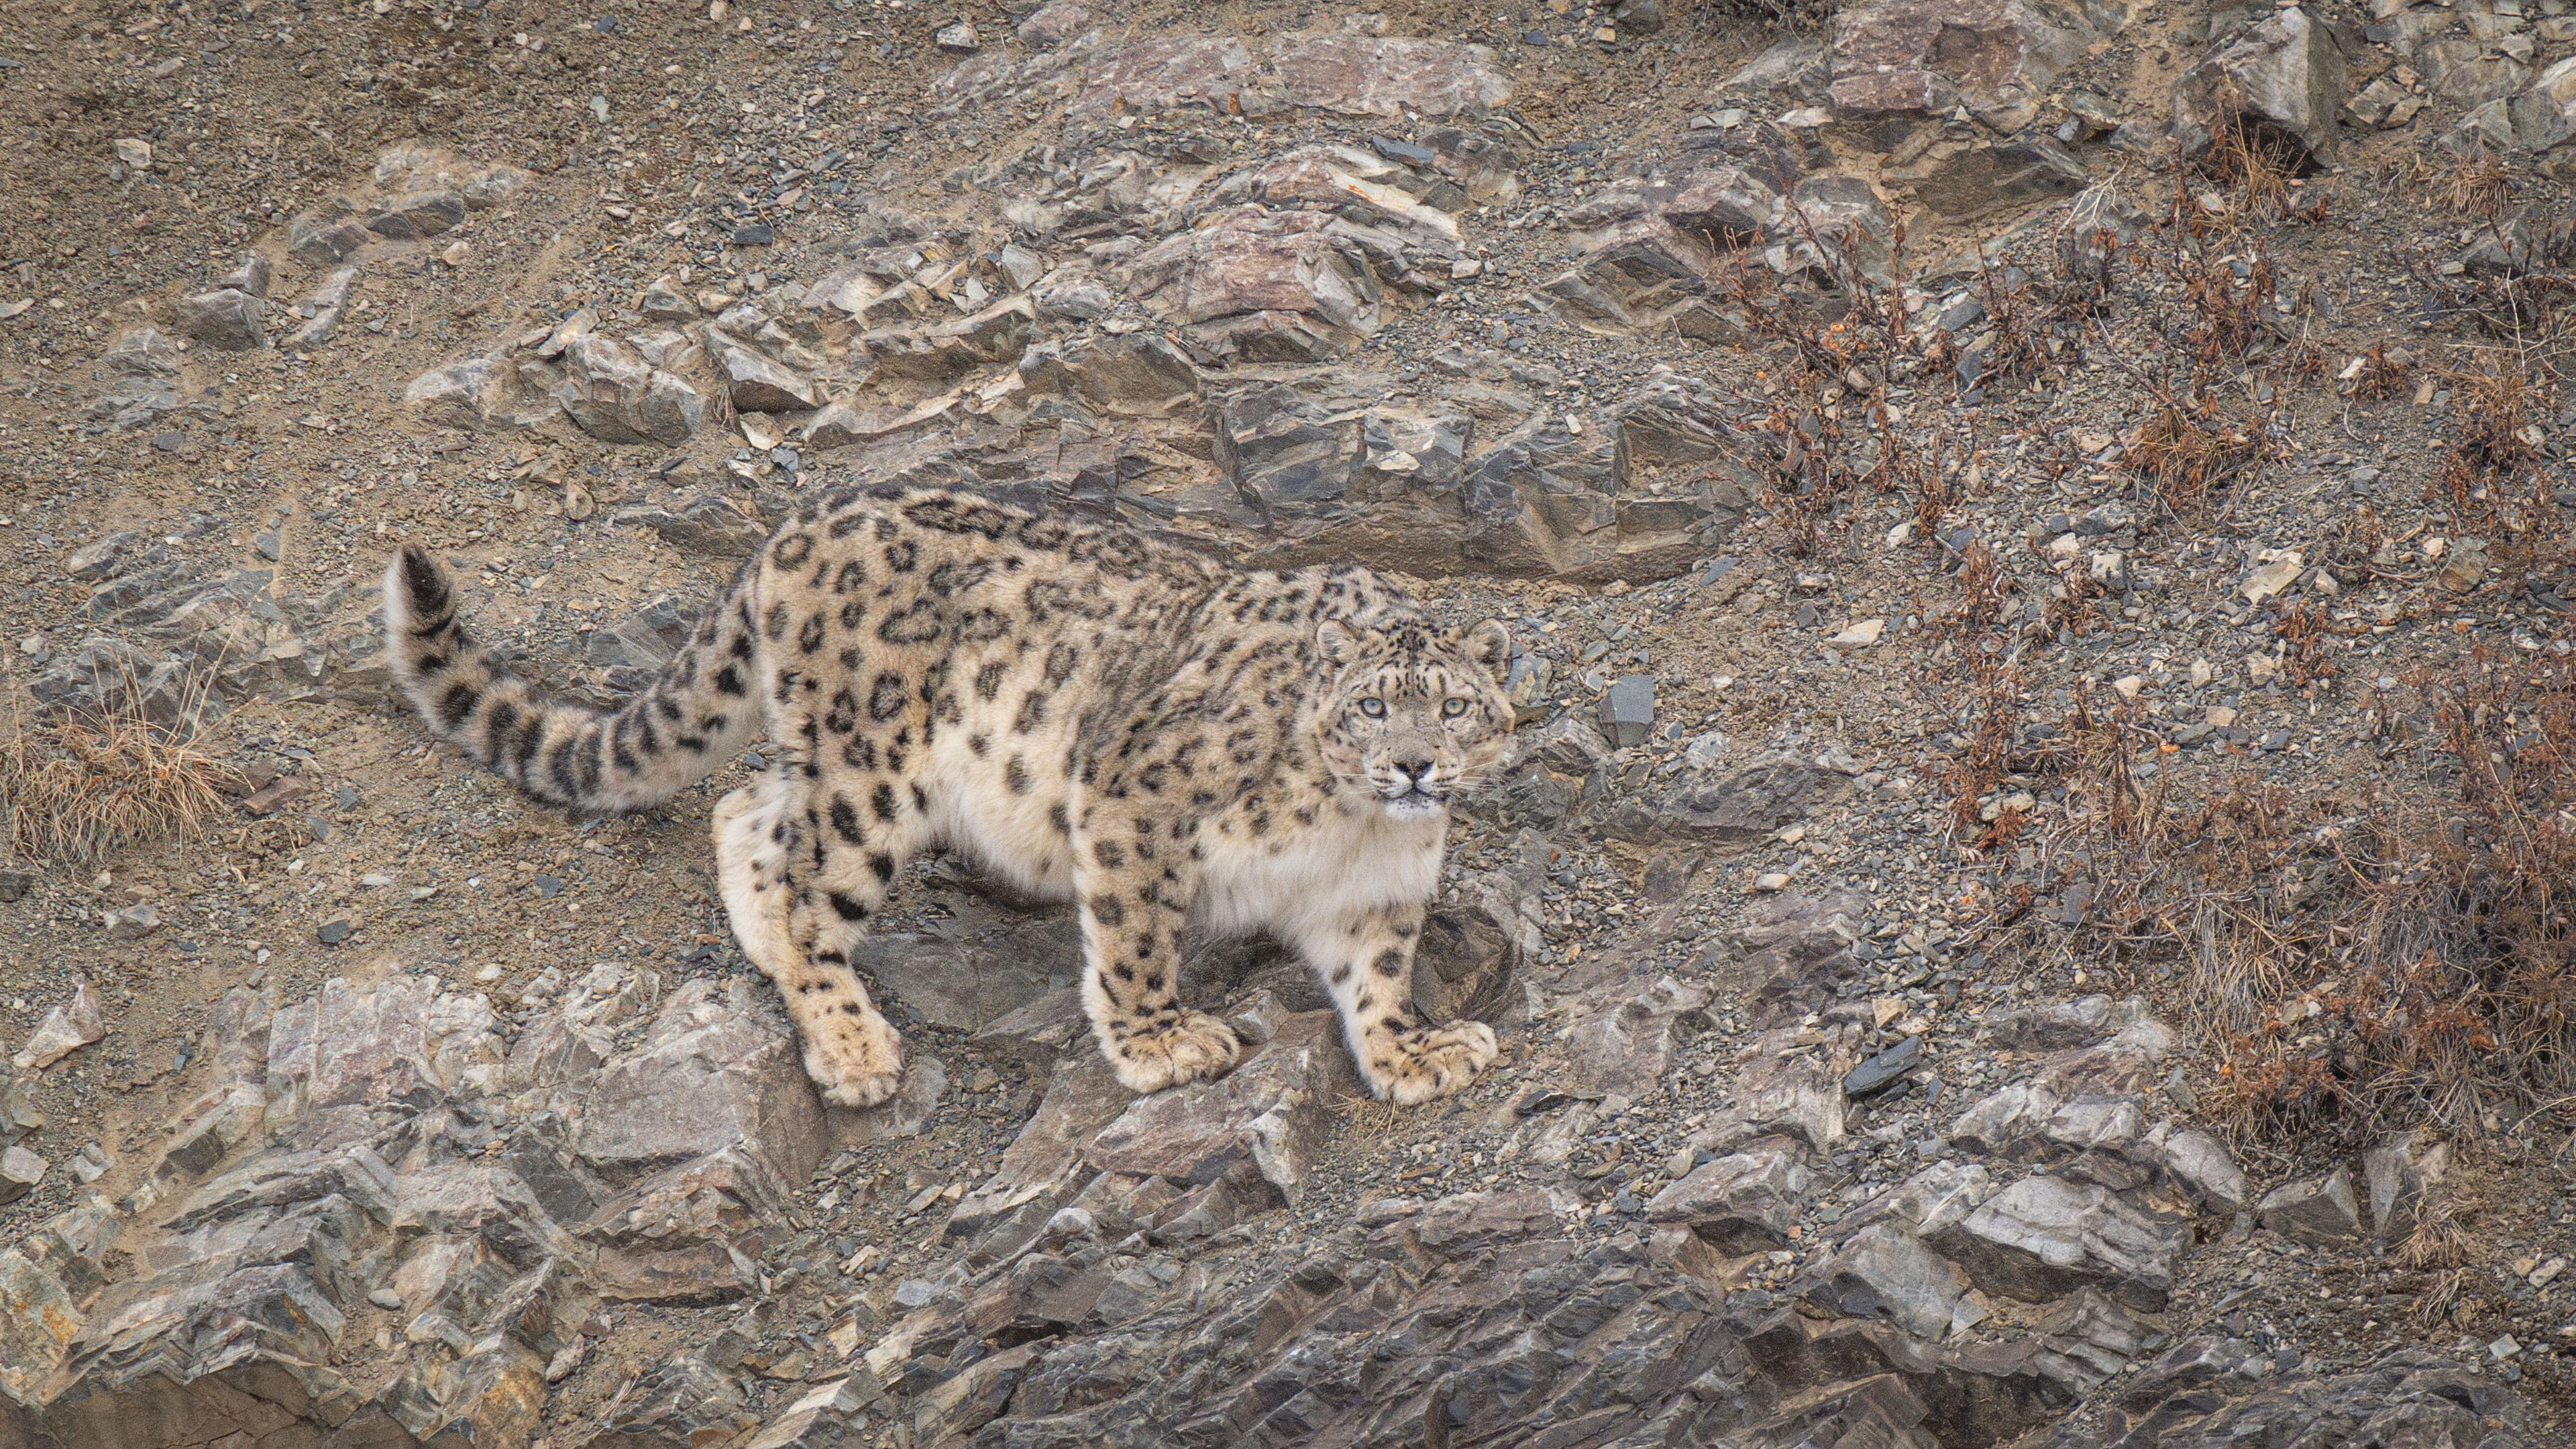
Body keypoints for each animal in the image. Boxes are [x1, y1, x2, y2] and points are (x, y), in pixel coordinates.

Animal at [382, 484, 1517, 1109]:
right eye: (1372, 705)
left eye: (1455, 706)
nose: (1415, 766)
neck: (1354, 832)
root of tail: (796, 526)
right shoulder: (1134, 798)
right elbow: (1136, 936)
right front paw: (1161, 1043)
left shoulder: (1374, 896)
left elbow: (1377, 978)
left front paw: (1413, 1052)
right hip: (870, 776)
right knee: (805, 882)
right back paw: (850, 1043)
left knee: (743, 814)